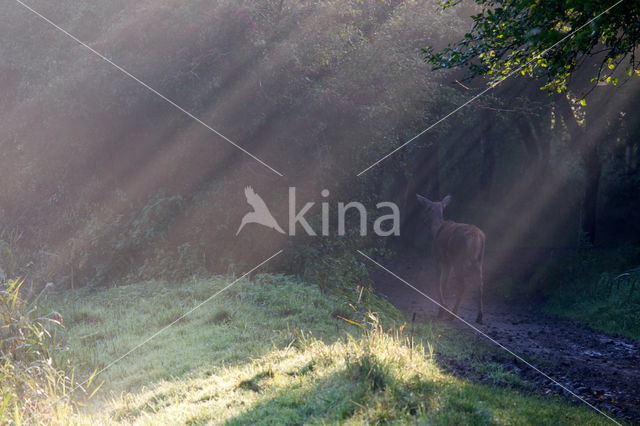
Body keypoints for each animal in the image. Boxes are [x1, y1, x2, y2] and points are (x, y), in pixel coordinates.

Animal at [416, 195, 484, 324]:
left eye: (427, 208)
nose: (422, 217)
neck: (436, 229)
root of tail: (475, 237)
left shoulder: (439, 258)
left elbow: (439, 282)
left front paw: (441, 310)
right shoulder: (448, 262)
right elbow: (445, 283)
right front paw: (442, 308)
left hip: (459, 259)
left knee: (462, 285)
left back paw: (452, 315)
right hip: (478, 259)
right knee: (479, 285)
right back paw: (479, 316)